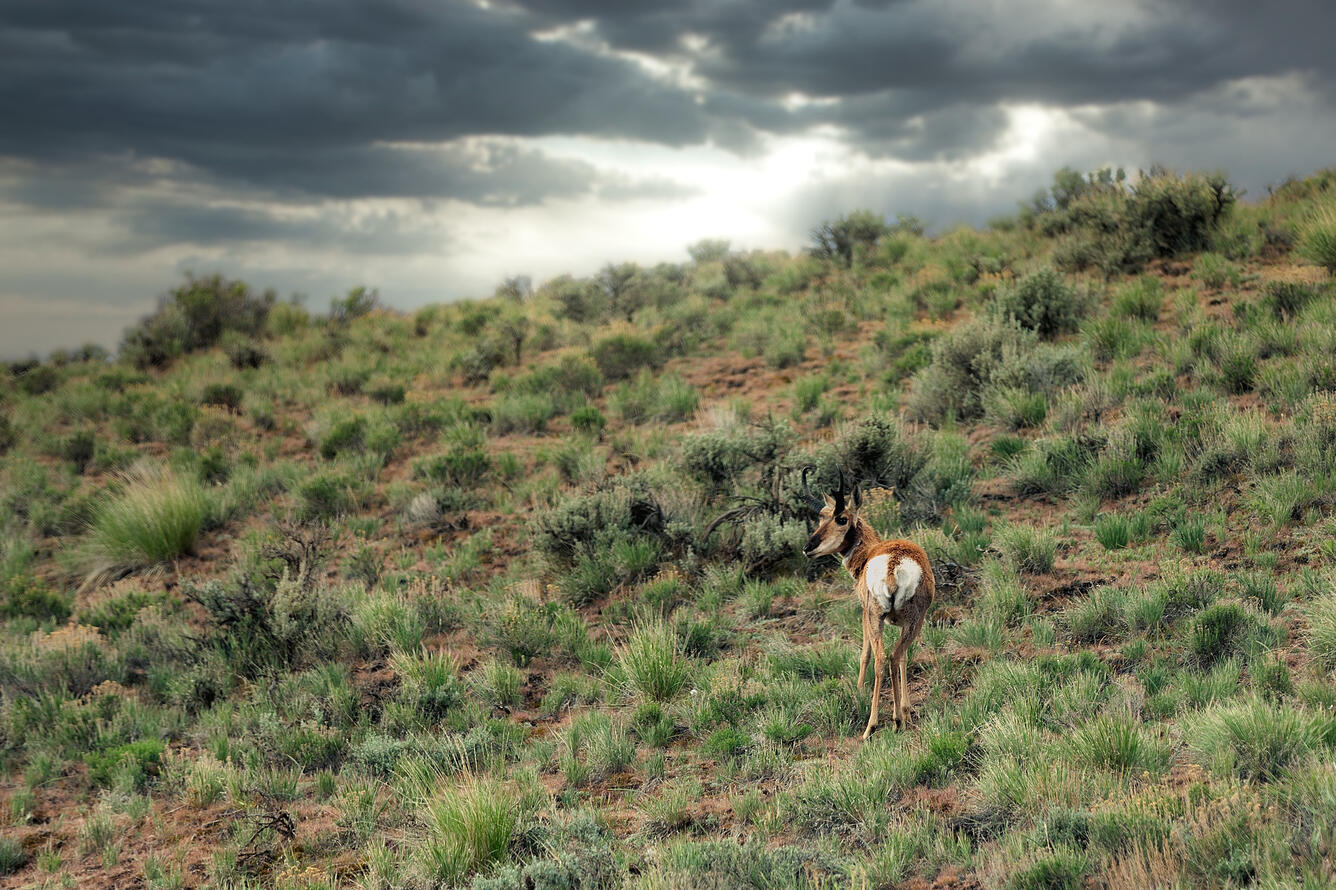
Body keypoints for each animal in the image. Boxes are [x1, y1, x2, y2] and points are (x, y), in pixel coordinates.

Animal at [803, 475, 935, 740]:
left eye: (841, 518)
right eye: (822, 516)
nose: (808, 547)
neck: (869, 553)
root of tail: (894, 563)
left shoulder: (864, 613)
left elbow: (864, 654)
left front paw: (859, 690)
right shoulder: (901, 624)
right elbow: (905, 659)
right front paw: (906, 709)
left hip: (879, 618)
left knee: (882, 658)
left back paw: (874, 726)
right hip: (913, 623)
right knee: (895, 656)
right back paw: (897, 719)